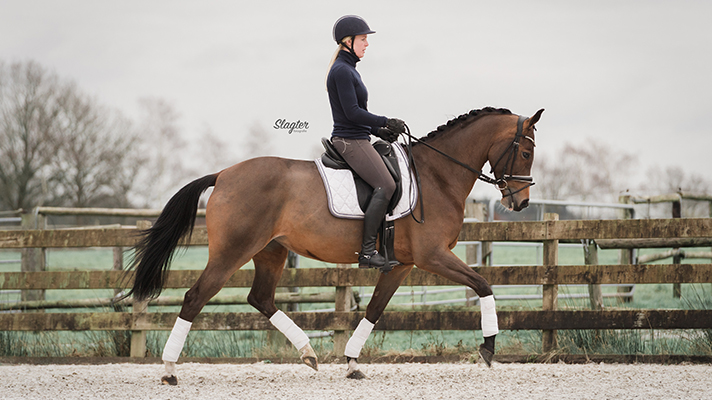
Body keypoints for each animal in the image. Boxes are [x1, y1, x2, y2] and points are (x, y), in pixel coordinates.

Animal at [124, 106, 544, 384]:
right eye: (525, 152)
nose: (520, 203)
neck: (436, 176)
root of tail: (224, 174)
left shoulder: (404, 264)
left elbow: (374, 310)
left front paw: (353, 362)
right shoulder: (434, 256)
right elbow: (484, 284)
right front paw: (488, 348)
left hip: (271, 252)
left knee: (260, 298)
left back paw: (309, 354)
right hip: (232, 252)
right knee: (195, 297)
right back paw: (169, 370)